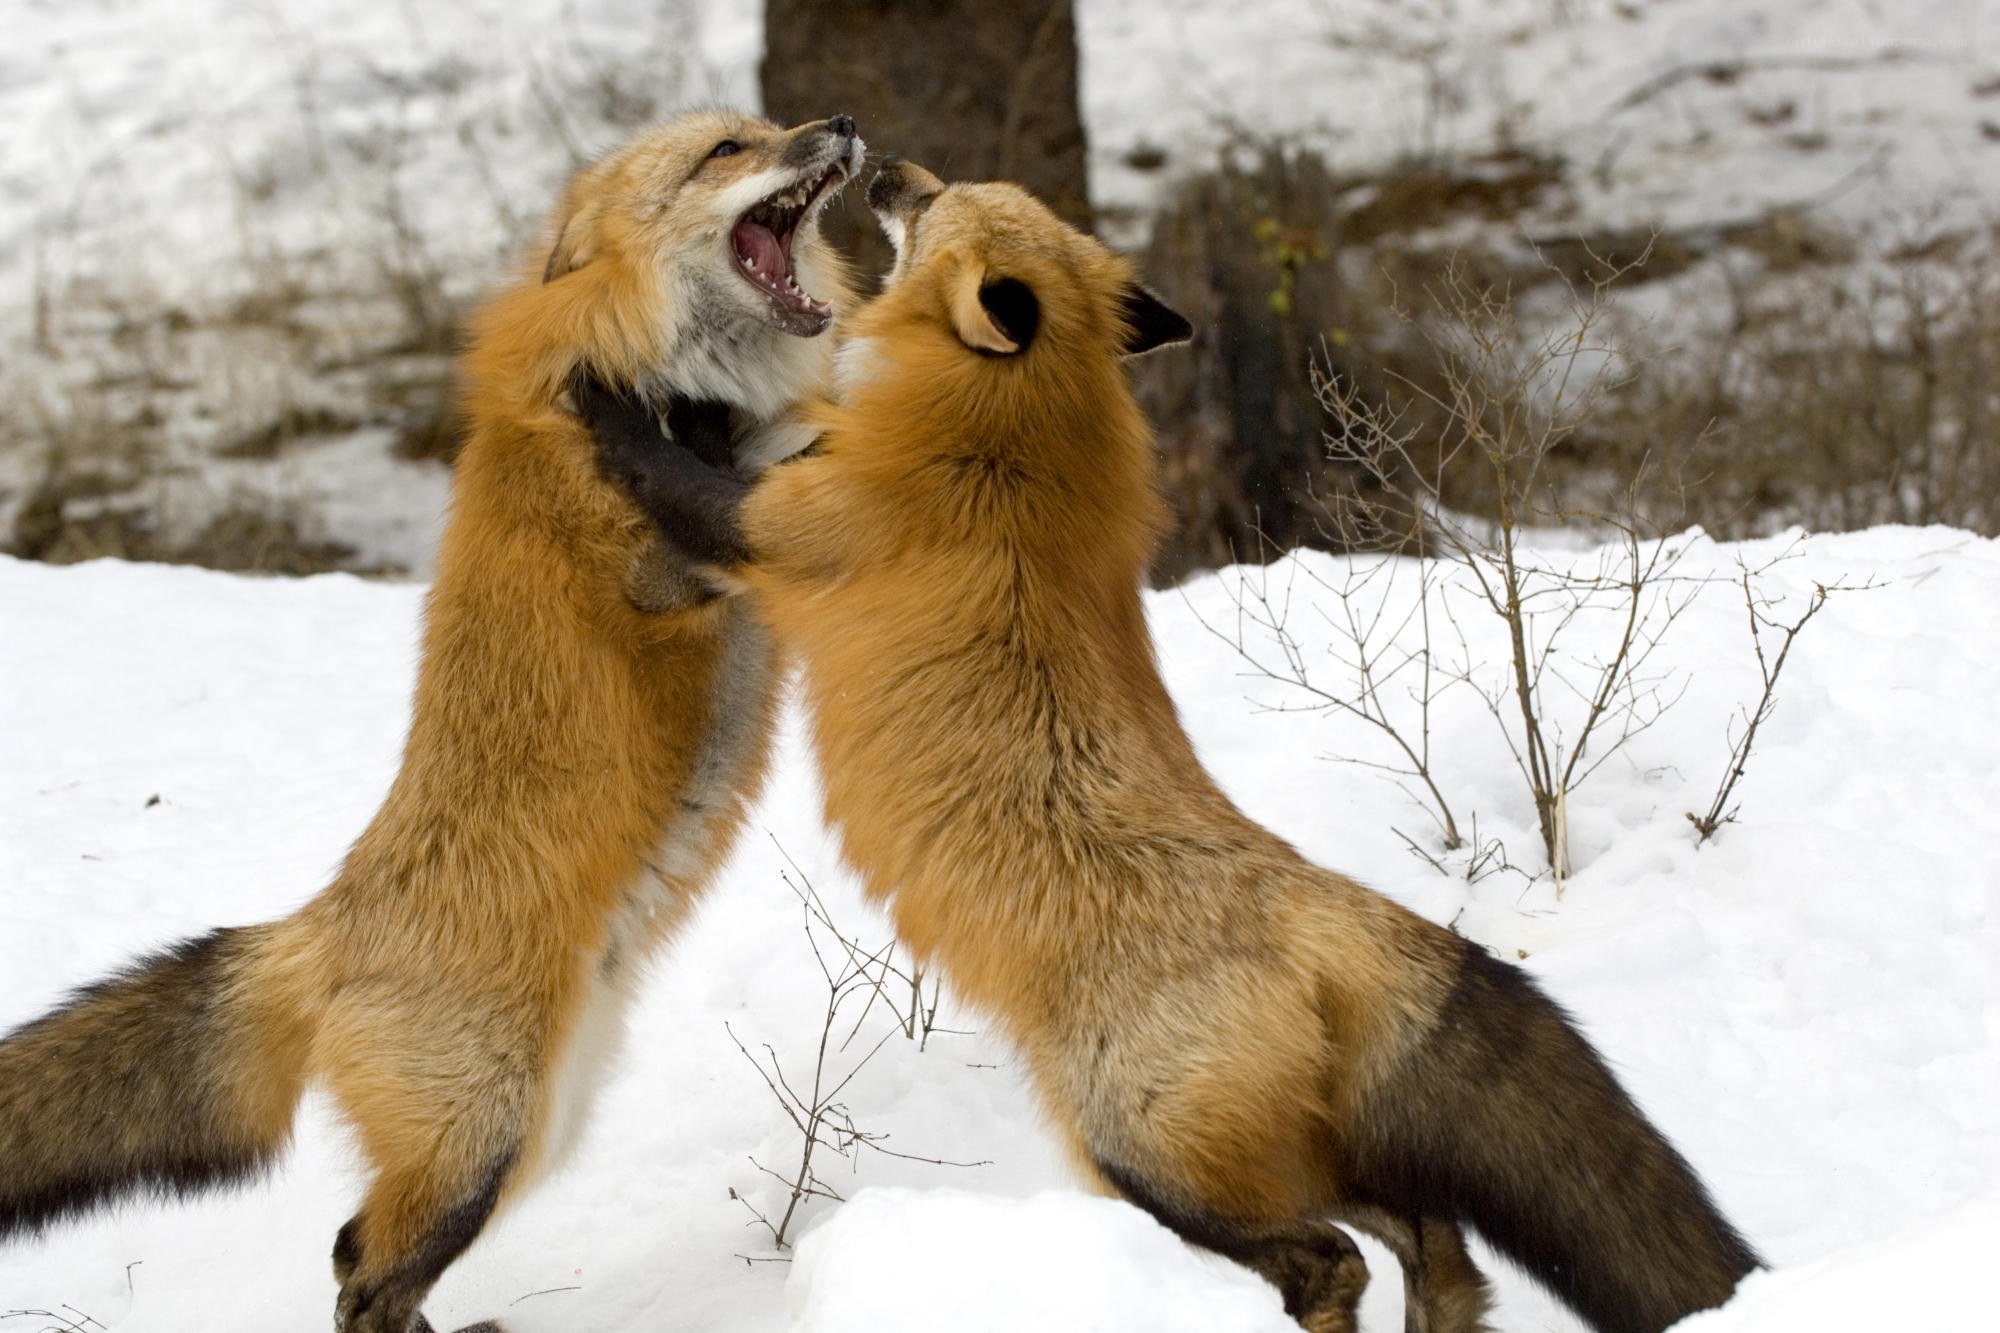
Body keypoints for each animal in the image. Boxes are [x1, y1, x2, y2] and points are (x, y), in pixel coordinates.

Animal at [0, 109, 863, 1333]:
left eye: (761, 127)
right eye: (727, 152)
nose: (838, 124)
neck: (658, 374)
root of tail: (318, 930)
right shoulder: (672, 570)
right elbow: (749, 476)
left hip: (543, 1123)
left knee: (357, 1258)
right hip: (488, 1137)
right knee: (357, 1270)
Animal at [577, 159, 1763, 1333]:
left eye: (936, 199)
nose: (885, 163)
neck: (1011, 437)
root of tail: (1329, 906)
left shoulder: (784, 526)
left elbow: (670, 471)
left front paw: (606, 395)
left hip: (1139, 1150)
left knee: (1335, 1260)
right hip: (1275, 1154)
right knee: (1431, 1236)